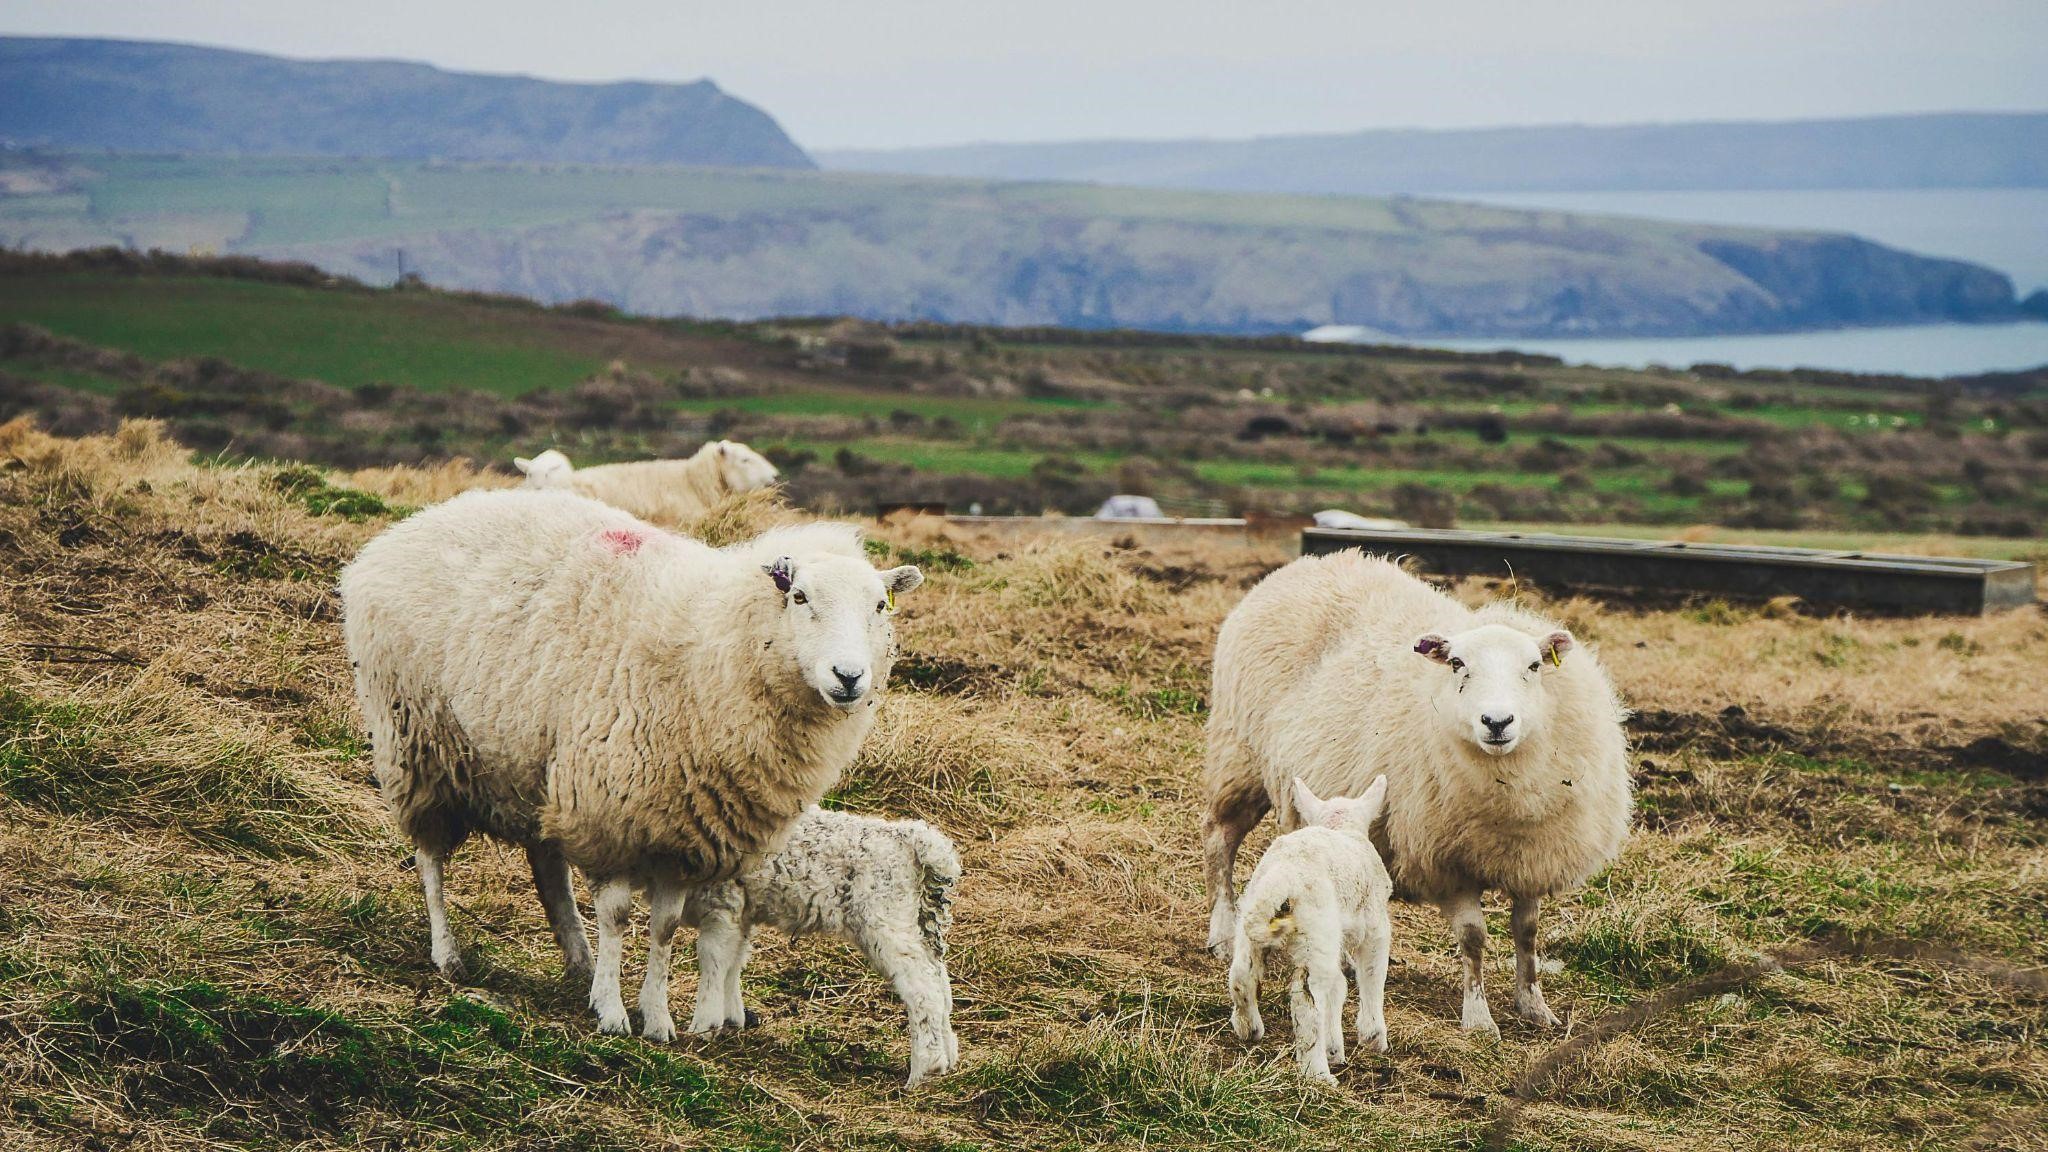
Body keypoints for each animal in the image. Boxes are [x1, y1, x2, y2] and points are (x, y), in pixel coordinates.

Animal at [339, 488, 923, 1042]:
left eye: (880, 606)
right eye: (800, 597)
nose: (849, 677)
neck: (715, 649)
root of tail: (406, 530)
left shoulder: (681, 836)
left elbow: (664, 928)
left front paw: (656, 1018)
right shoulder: (609, 813)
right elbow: (618, 917)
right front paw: (613, 1013)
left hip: (538, 768)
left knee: (546, 865)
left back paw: (578, 959)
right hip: (417, 744)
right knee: (430, 857)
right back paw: (448, 954)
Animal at [680, 805, 962, 1085]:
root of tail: (912, 837)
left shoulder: (722, 902)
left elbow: (712, 960)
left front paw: (701, 1028)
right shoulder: (742, 910)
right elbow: (734, 961)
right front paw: (731, 1020)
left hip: (884, 917)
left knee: (923, 988)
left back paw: (923, 1070)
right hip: (921, 919)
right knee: (939, 982)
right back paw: (946, 1060)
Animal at [1202, 552, 1631, 1035]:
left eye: (1534, 667)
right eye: (1457, 664)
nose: (1497, 722)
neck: (1508, 789)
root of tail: (1304, 565)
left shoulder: (1533, 857)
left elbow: (1528, 932)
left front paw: (1534, 1005)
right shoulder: (1447, 861)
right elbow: (1473, 938)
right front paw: (1478, 1018)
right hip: (1238, 754)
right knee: (1220, 840)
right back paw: (1222, 933)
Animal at [1228, 777, 1392, 1084]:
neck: (1341, 827)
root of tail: (1285, 873)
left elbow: (1338, 987)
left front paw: (1334, 1048)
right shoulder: (1375, 927)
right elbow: (1373, 974)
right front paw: (1373, 1037)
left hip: (1254, 913)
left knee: (1242, 974)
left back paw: (1249, 1028)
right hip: (1316, 930)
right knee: (1307, 998)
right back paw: (1318, 1074)